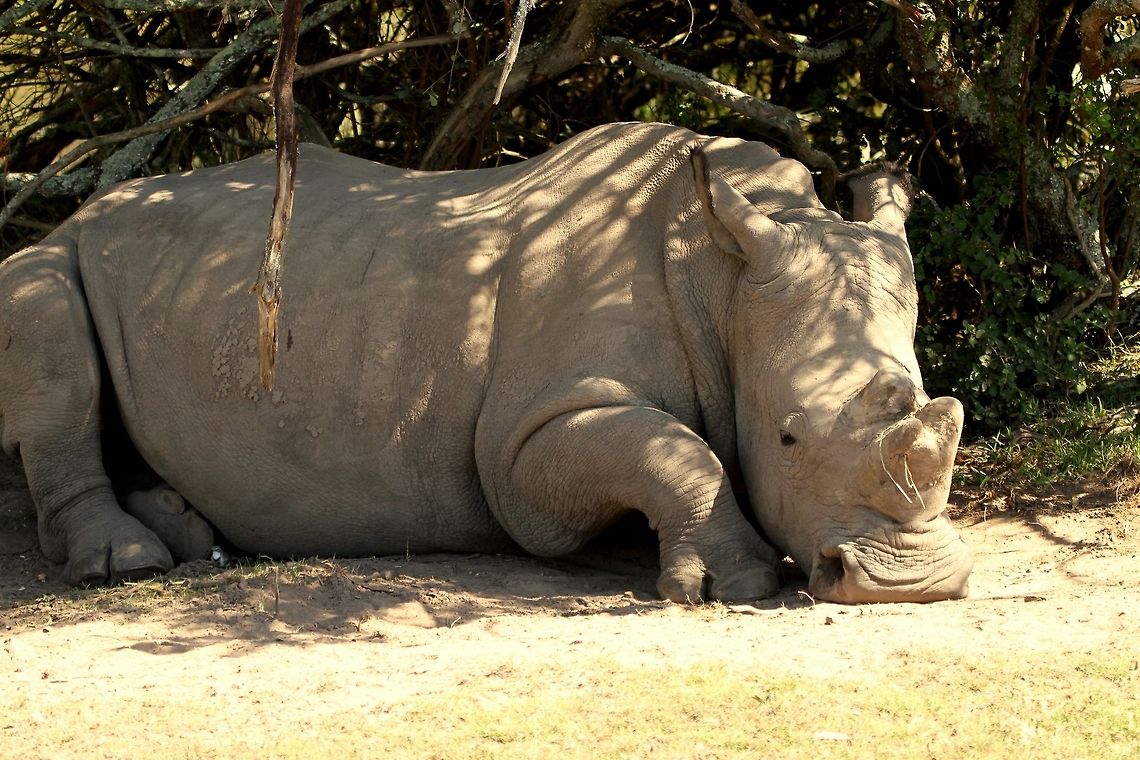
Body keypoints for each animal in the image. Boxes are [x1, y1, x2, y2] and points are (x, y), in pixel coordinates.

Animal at [0, 122, 972, 603]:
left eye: (943, 412)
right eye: (789, 438)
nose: (911, 587)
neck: (725, 281)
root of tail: (85, 207)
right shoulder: (523, 444)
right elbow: (672, 451)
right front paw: (733, 584)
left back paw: (183, 529)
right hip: (60, 249)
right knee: (49, 334)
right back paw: (125, 564)